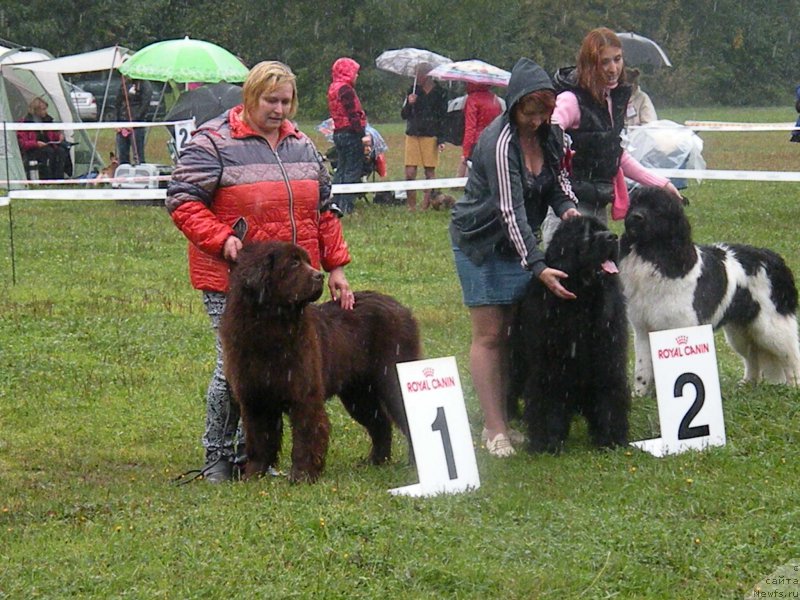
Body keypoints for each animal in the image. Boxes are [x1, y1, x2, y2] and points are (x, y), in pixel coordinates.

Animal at [216, 241, 422, 480]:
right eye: (293, 263)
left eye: (306, 261)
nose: (320, 276)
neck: (269, 327)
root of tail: (403, 309)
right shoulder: (254, 398)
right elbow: (259, 438)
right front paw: (253, 475)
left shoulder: (304, 394)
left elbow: (306, 434)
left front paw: (302, 475)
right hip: (358, 393)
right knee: (380, 422)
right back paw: (376, 462)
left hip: (392, 379)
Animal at [620, 186, 800, 394]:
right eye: (634, 204)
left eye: (657, 209)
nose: (635, 216)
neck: (653, 255)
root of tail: (775, 259)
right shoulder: (643, 329)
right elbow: (642, 369)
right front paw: (639, 395)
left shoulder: (682, 325)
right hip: (740, 330)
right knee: (752, 356)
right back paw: (747, 383)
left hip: (770, 326)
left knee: (791, 354)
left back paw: (794, 386)